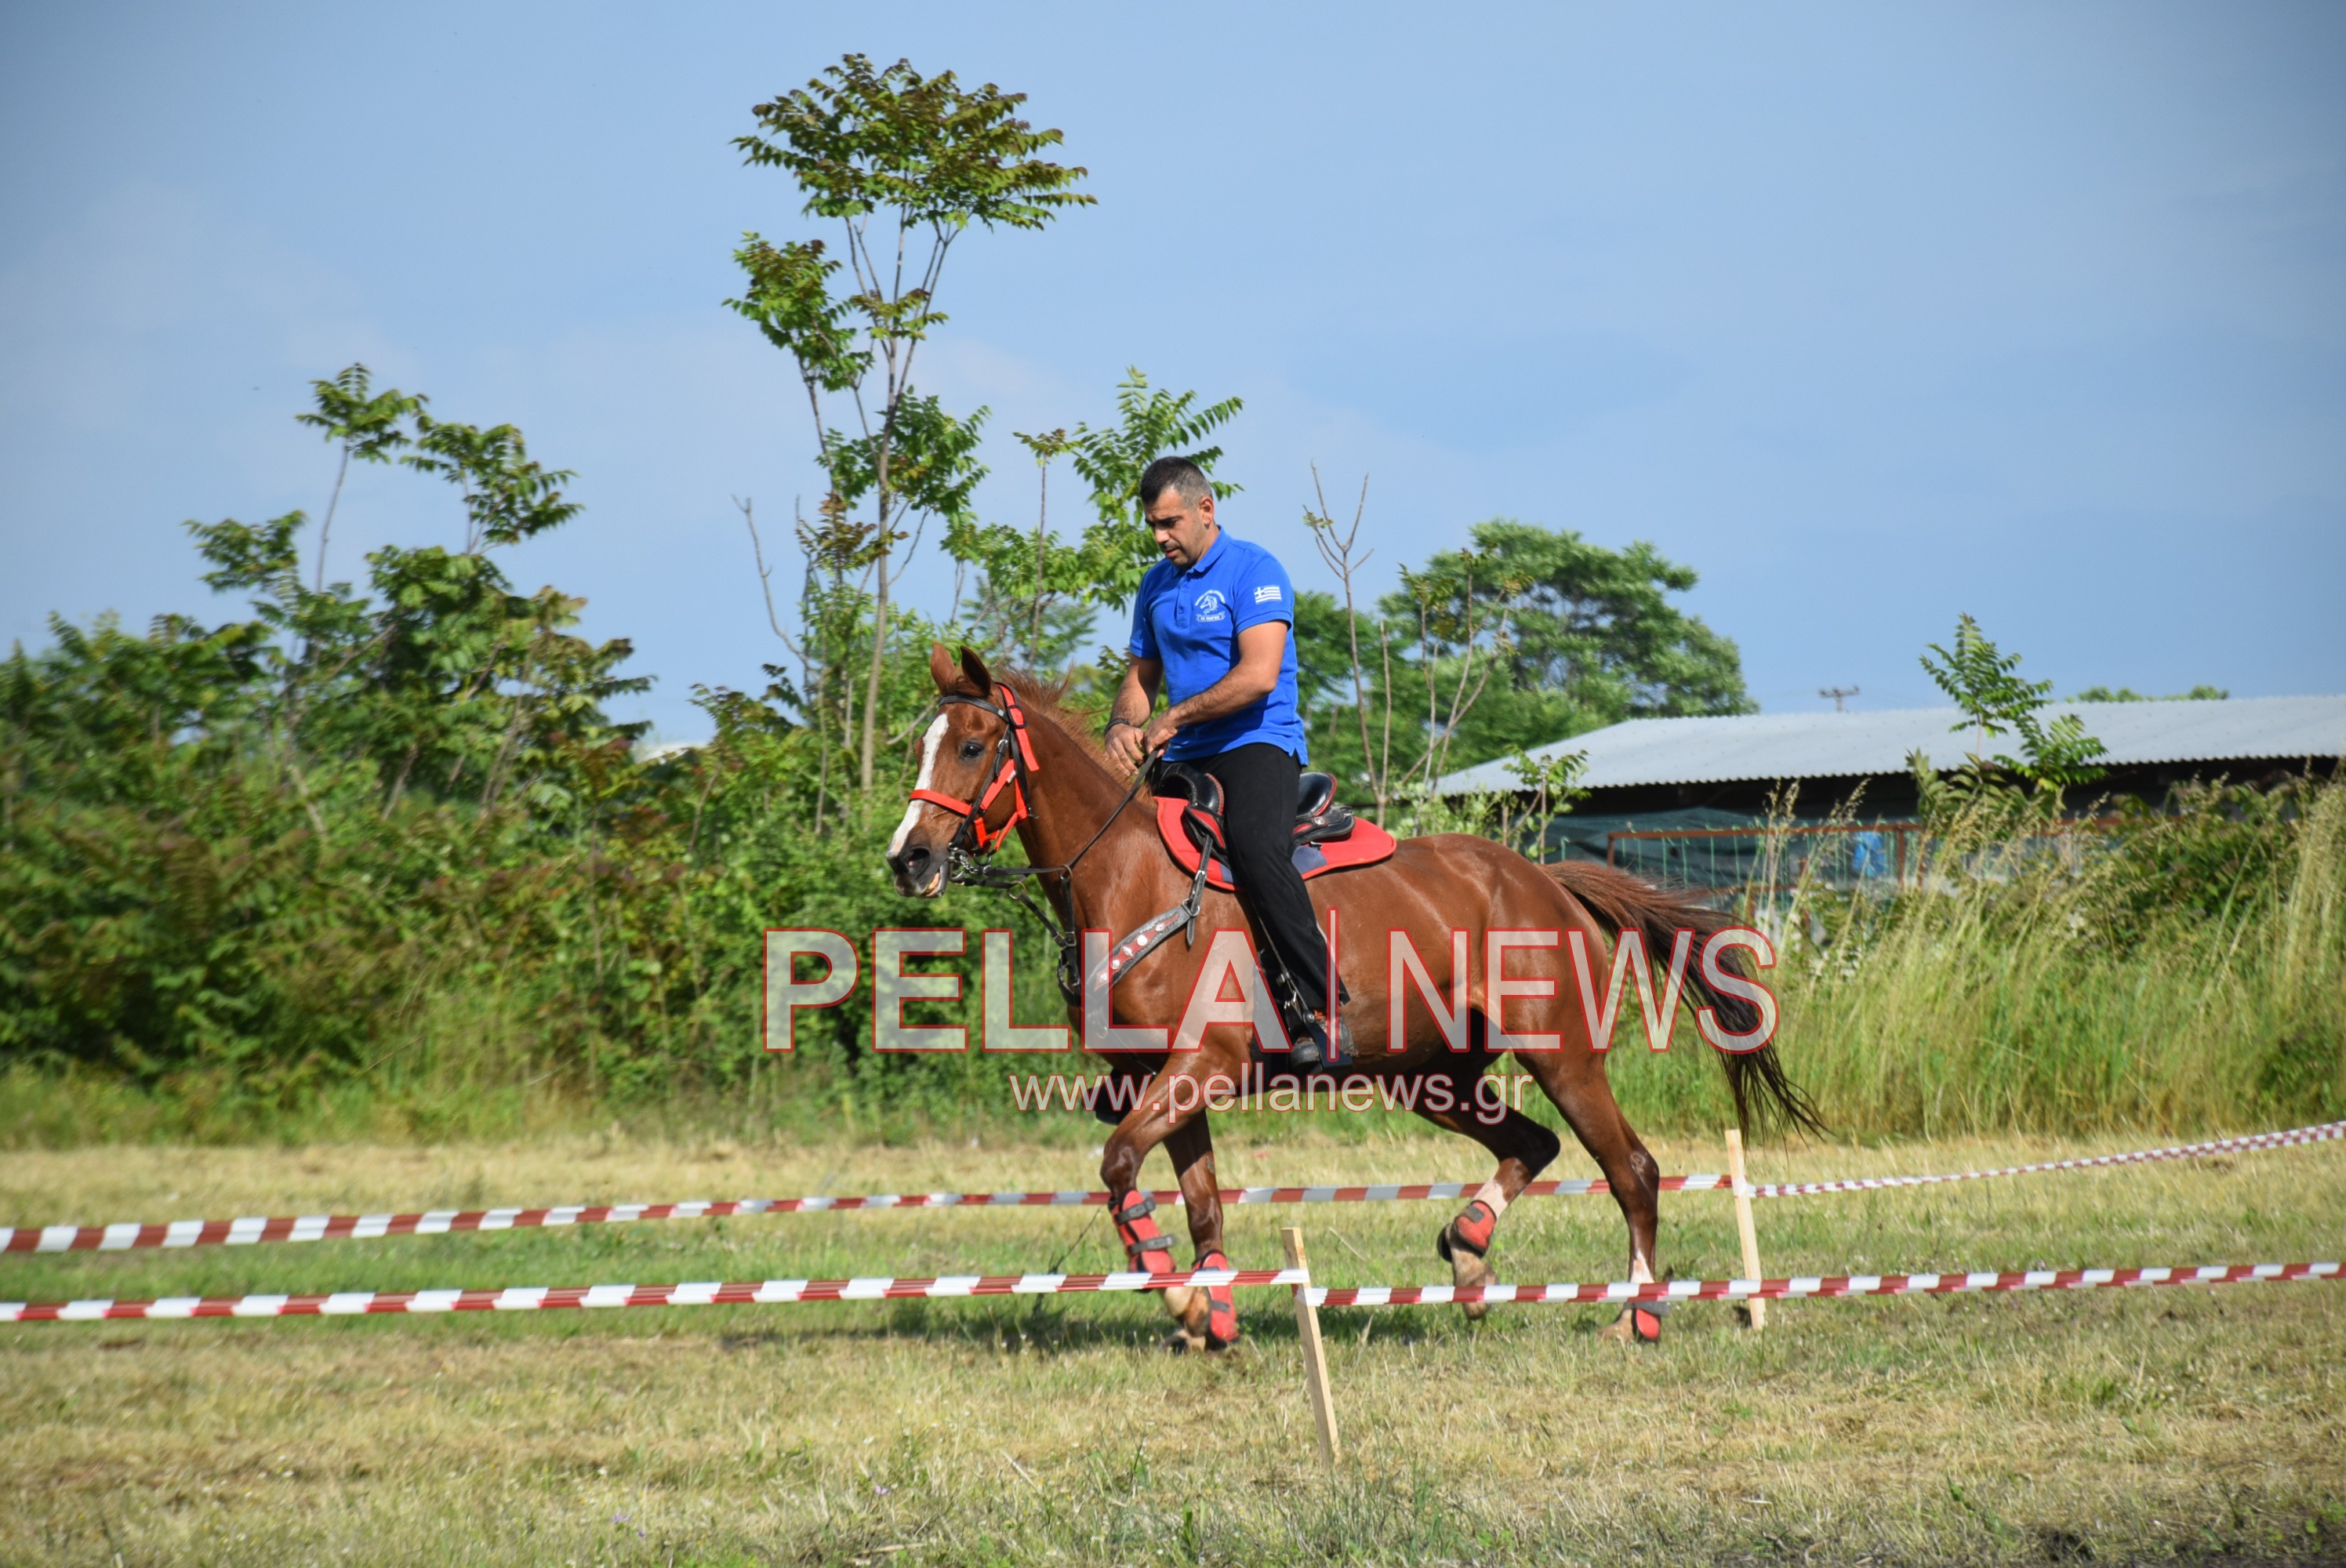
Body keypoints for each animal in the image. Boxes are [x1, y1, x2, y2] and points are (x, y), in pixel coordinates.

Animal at [886, 648, 1820, 1352]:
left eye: (974, 746)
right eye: (920, 747)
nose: (908, 856)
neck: (1127, 875)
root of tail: (1548, 880)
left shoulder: (1199, 1067)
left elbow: (1118, 1164)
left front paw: (1181, 1299)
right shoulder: (1169, 1082)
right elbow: (1198, 1202)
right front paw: (1209, 1314)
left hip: (1563, 1057)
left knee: (1631, 1168)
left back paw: (1639, 1313)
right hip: (1431, 1076)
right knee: (1534, 1142)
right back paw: (1470, 1253)